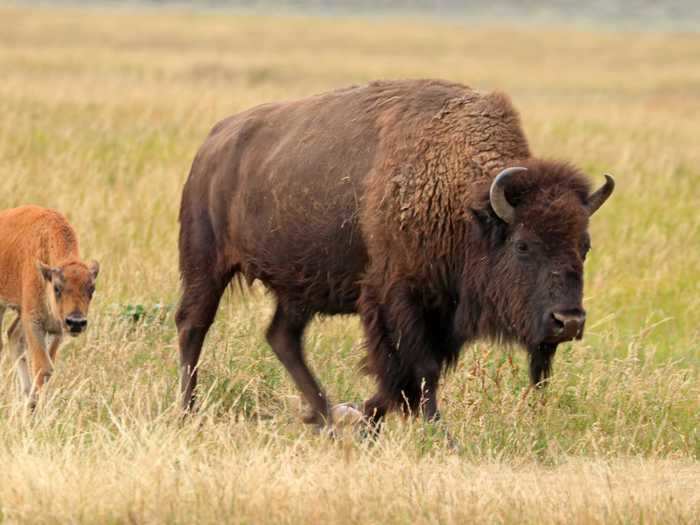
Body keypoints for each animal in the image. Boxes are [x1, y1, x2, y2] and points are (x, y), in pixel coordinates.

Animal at [0, 206, 99, 406]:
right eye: (57, 288)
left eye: (91, 289)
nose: (76, 322)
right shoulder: (33, 322)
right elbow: (43, 367)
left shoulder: (56, 328)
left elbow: (48, 369)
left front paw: (33, 404)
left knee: (13, 336)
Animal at [175, 79, 612, 430]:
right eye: (523, 245)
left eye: (584, 246)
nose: (568, 321)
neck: (463, 203)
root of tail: (214, 142)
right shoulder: (398, 300)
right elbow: (416, 372)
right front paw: (438, 435)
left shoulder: (441, 312)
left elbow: (405, 379)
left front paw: (361, 420)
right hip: (205, 264)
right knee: (193, 326)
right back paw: (187, 410)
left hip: (299, 288)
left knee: (282, 337)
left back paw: (323, 416)